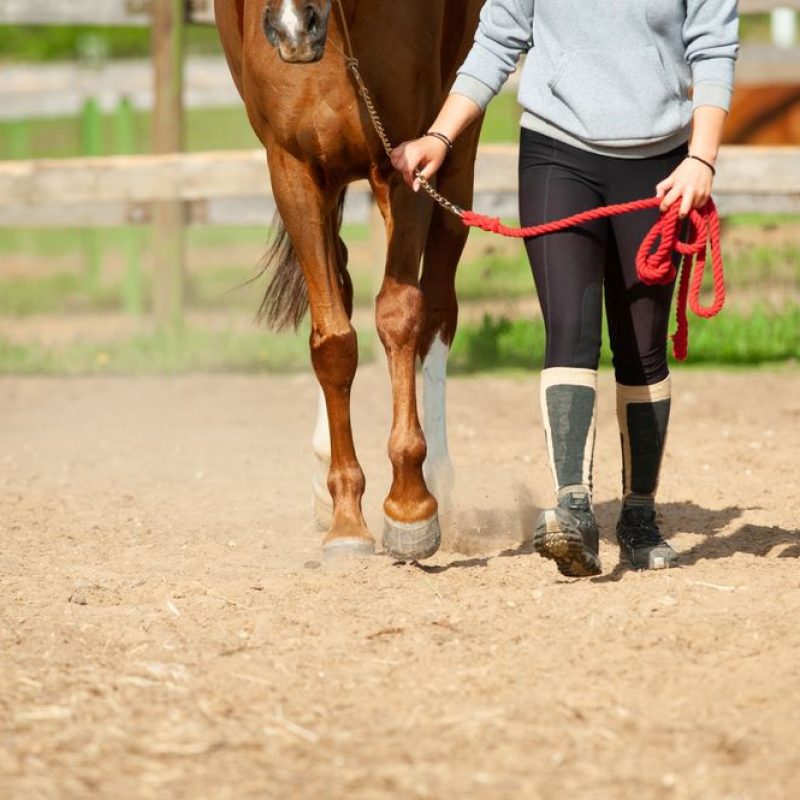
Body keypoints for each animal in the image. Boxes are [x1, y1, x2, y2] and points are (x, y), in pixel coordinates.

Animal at [215, 0, 484, 559]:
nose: (294, 30)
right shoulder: (292, 171)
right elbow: (333, 338)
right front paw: (345, 517)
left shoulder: (405, 164)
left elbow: (400, 315)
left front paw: (410, 506)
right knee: (339, 288)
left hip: (456, 155)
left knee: (439, 312)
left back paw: (440, 480)